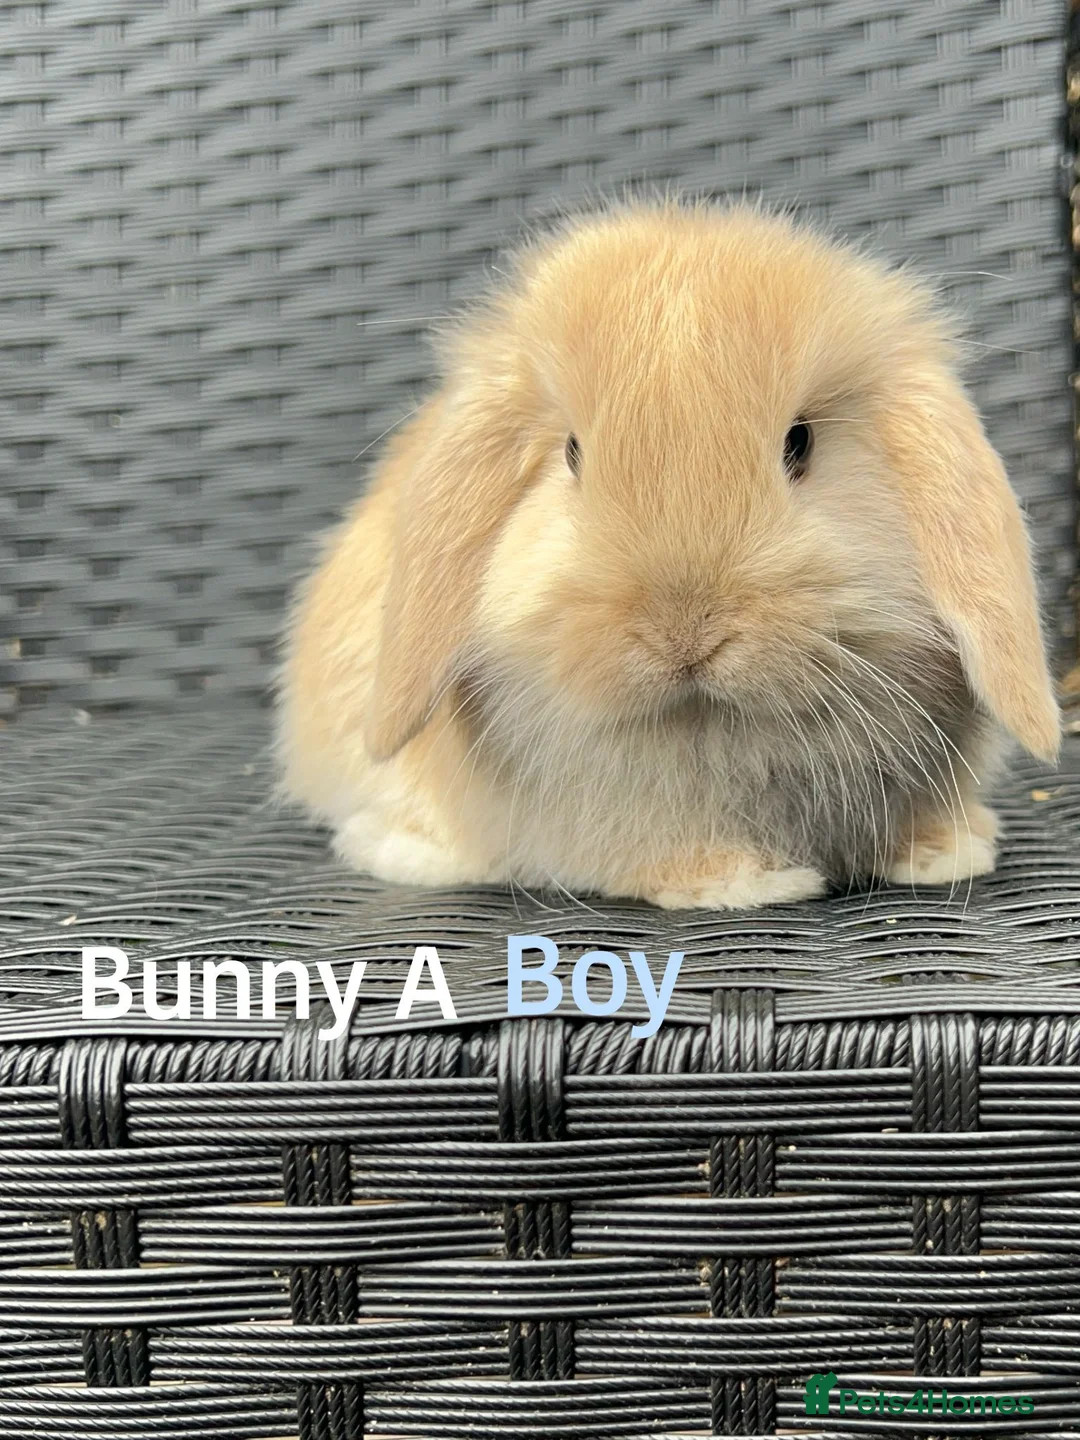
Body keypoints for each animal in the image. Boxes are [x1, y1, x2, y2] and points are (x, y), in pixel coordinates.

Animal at [277, 201, 1059, 910]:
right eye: (572, 454)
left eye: (799, 442)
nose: (685, 634)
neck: (709, 731)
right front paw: (746, 882)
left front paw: (948, 852)